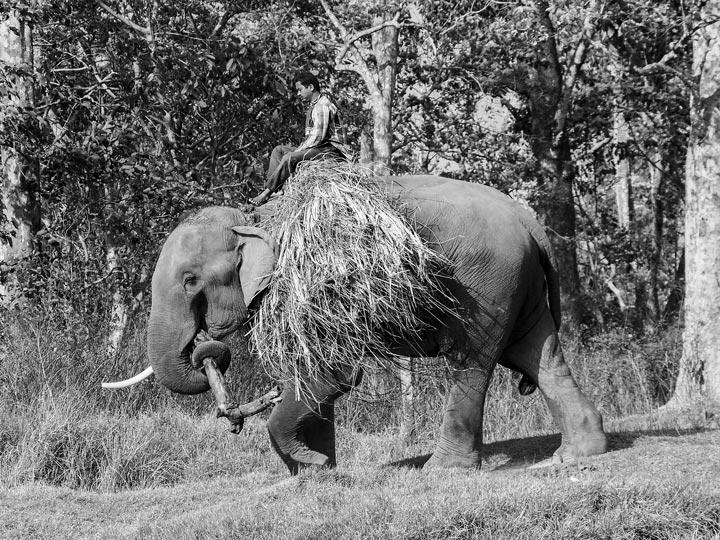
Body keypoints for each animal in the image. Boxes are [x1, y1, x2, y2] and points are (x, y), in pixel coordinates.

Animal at [121, 176, 604, 472]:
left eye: (189, 280)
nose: (206, 349)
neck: (259, 221)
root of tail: (528, 219)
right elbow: (310, 376)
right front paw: (312, 474)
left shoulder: (311, 287)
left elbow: (334, 375)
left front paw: (311, 463)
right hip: (518, 285)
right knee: (539, 353)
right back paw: (576, 456)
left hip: (487, 287)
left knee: (472, 363)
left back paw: (441, 470)